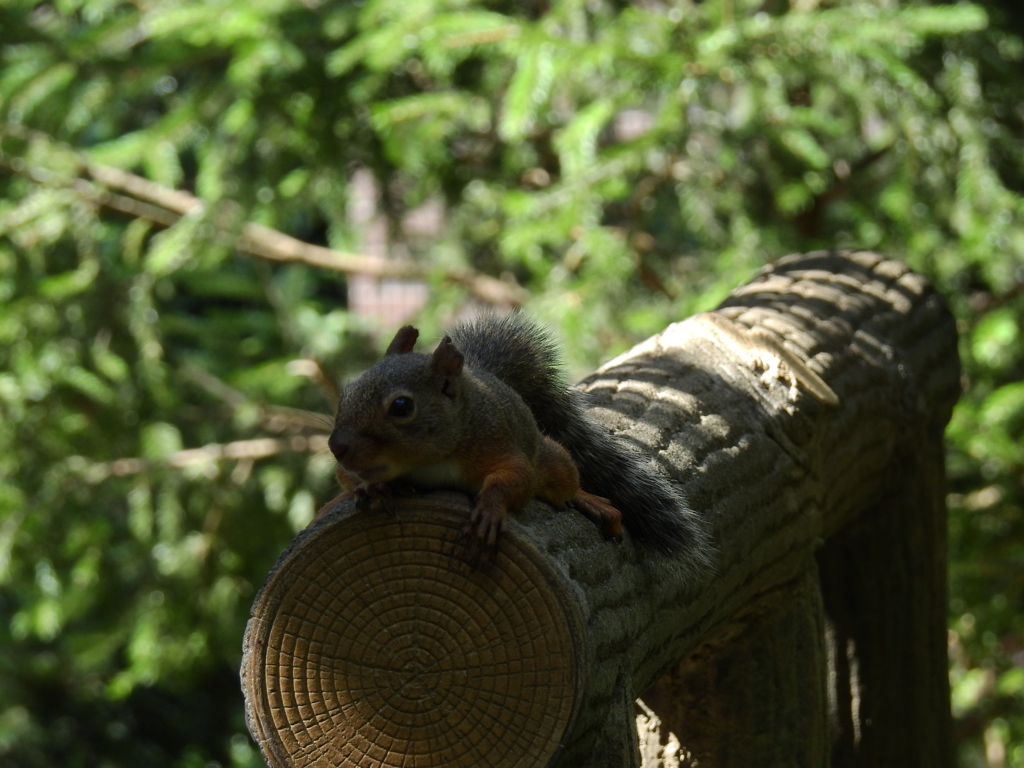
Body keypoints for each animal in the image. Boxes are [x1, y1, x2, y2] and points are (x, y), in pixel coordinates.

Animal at [323, 313, 708, 561]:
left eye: (401, 406)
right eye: (347, 393)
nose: (336, 446)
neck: (428, 461)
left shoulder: (500, 446)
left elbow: (516, 479)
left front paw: (489, 512)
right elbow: (347, 477)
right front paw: (373, 488)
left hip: (553, 457)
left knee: (563, 482)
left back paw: (589, 501)